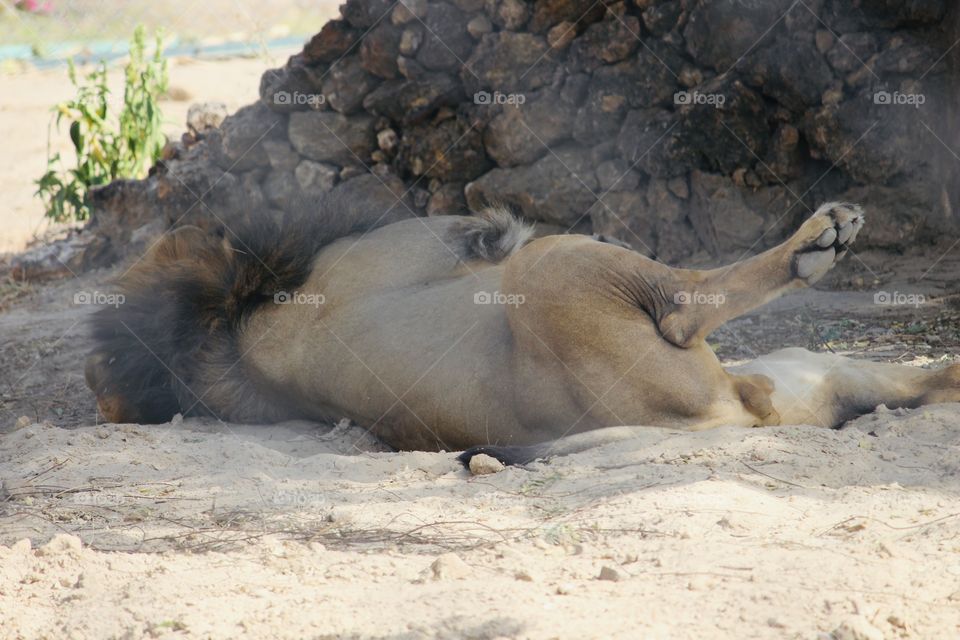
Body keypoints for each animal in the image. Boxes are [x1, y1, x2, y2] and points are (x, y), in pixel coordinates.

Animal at [84, 190, 960, 464]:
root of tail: (737, 416)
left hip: (820, 368)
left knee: (928, 381)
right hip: (561, 269)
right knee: (686, 303)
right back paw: (821, 237)